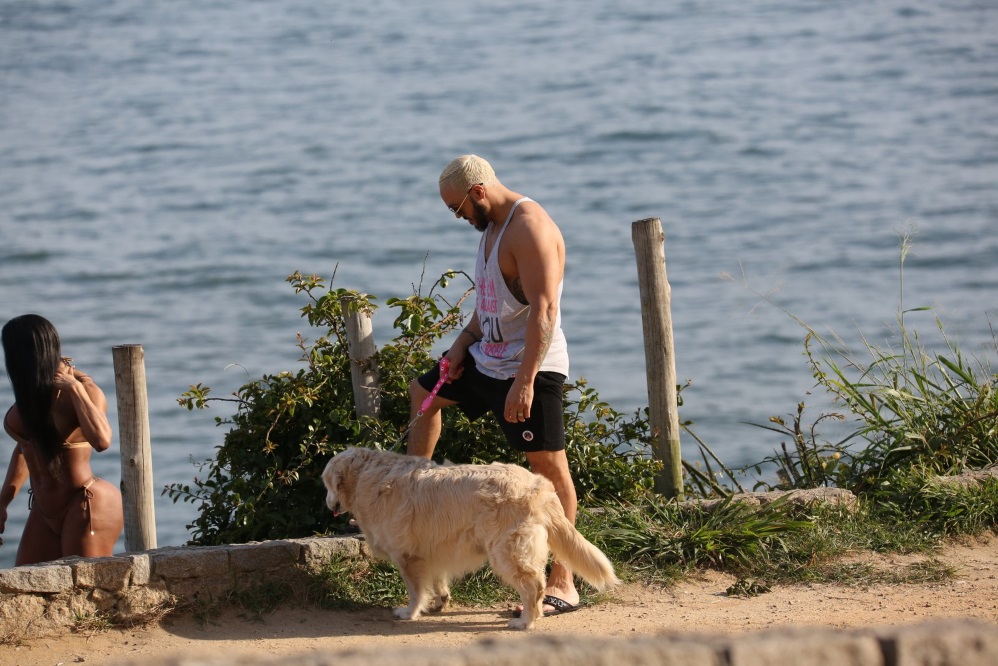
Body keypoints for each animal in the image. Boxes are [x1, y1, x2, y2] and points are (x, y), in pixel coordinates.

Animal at [322, 446, 616, 628]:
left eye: (327, 484)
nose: (327, 505)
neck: (367, 476)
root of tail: (539, 486)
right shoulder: (433, 549)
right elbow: (437, 580)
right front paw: (441, 600)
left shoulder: (406, 555)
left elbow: (415, 590)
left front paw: (409, 612)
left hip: (506, 551)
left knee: (534, 586)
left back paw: (526, 621)